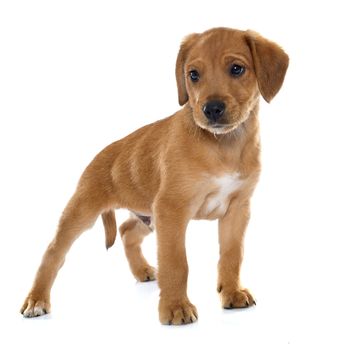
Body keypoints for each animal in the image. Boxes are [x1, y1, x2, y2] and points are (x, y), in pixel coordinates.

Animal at [20, 27, 288, 326]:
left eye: (237, 69)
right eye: (193, 74)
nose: (211, 109)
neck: (223, 145)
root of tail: (102, 153)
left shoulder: (237, 210)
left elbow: (231, 255)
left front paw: (232, 292)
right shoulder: (172, 210)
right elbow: (176, 263)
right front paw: (175, 308)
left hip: (148, 216)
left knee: (126, 231)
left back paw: (143, 270)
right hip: (84, 212)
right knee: (53, 252)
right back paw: (37, 300)